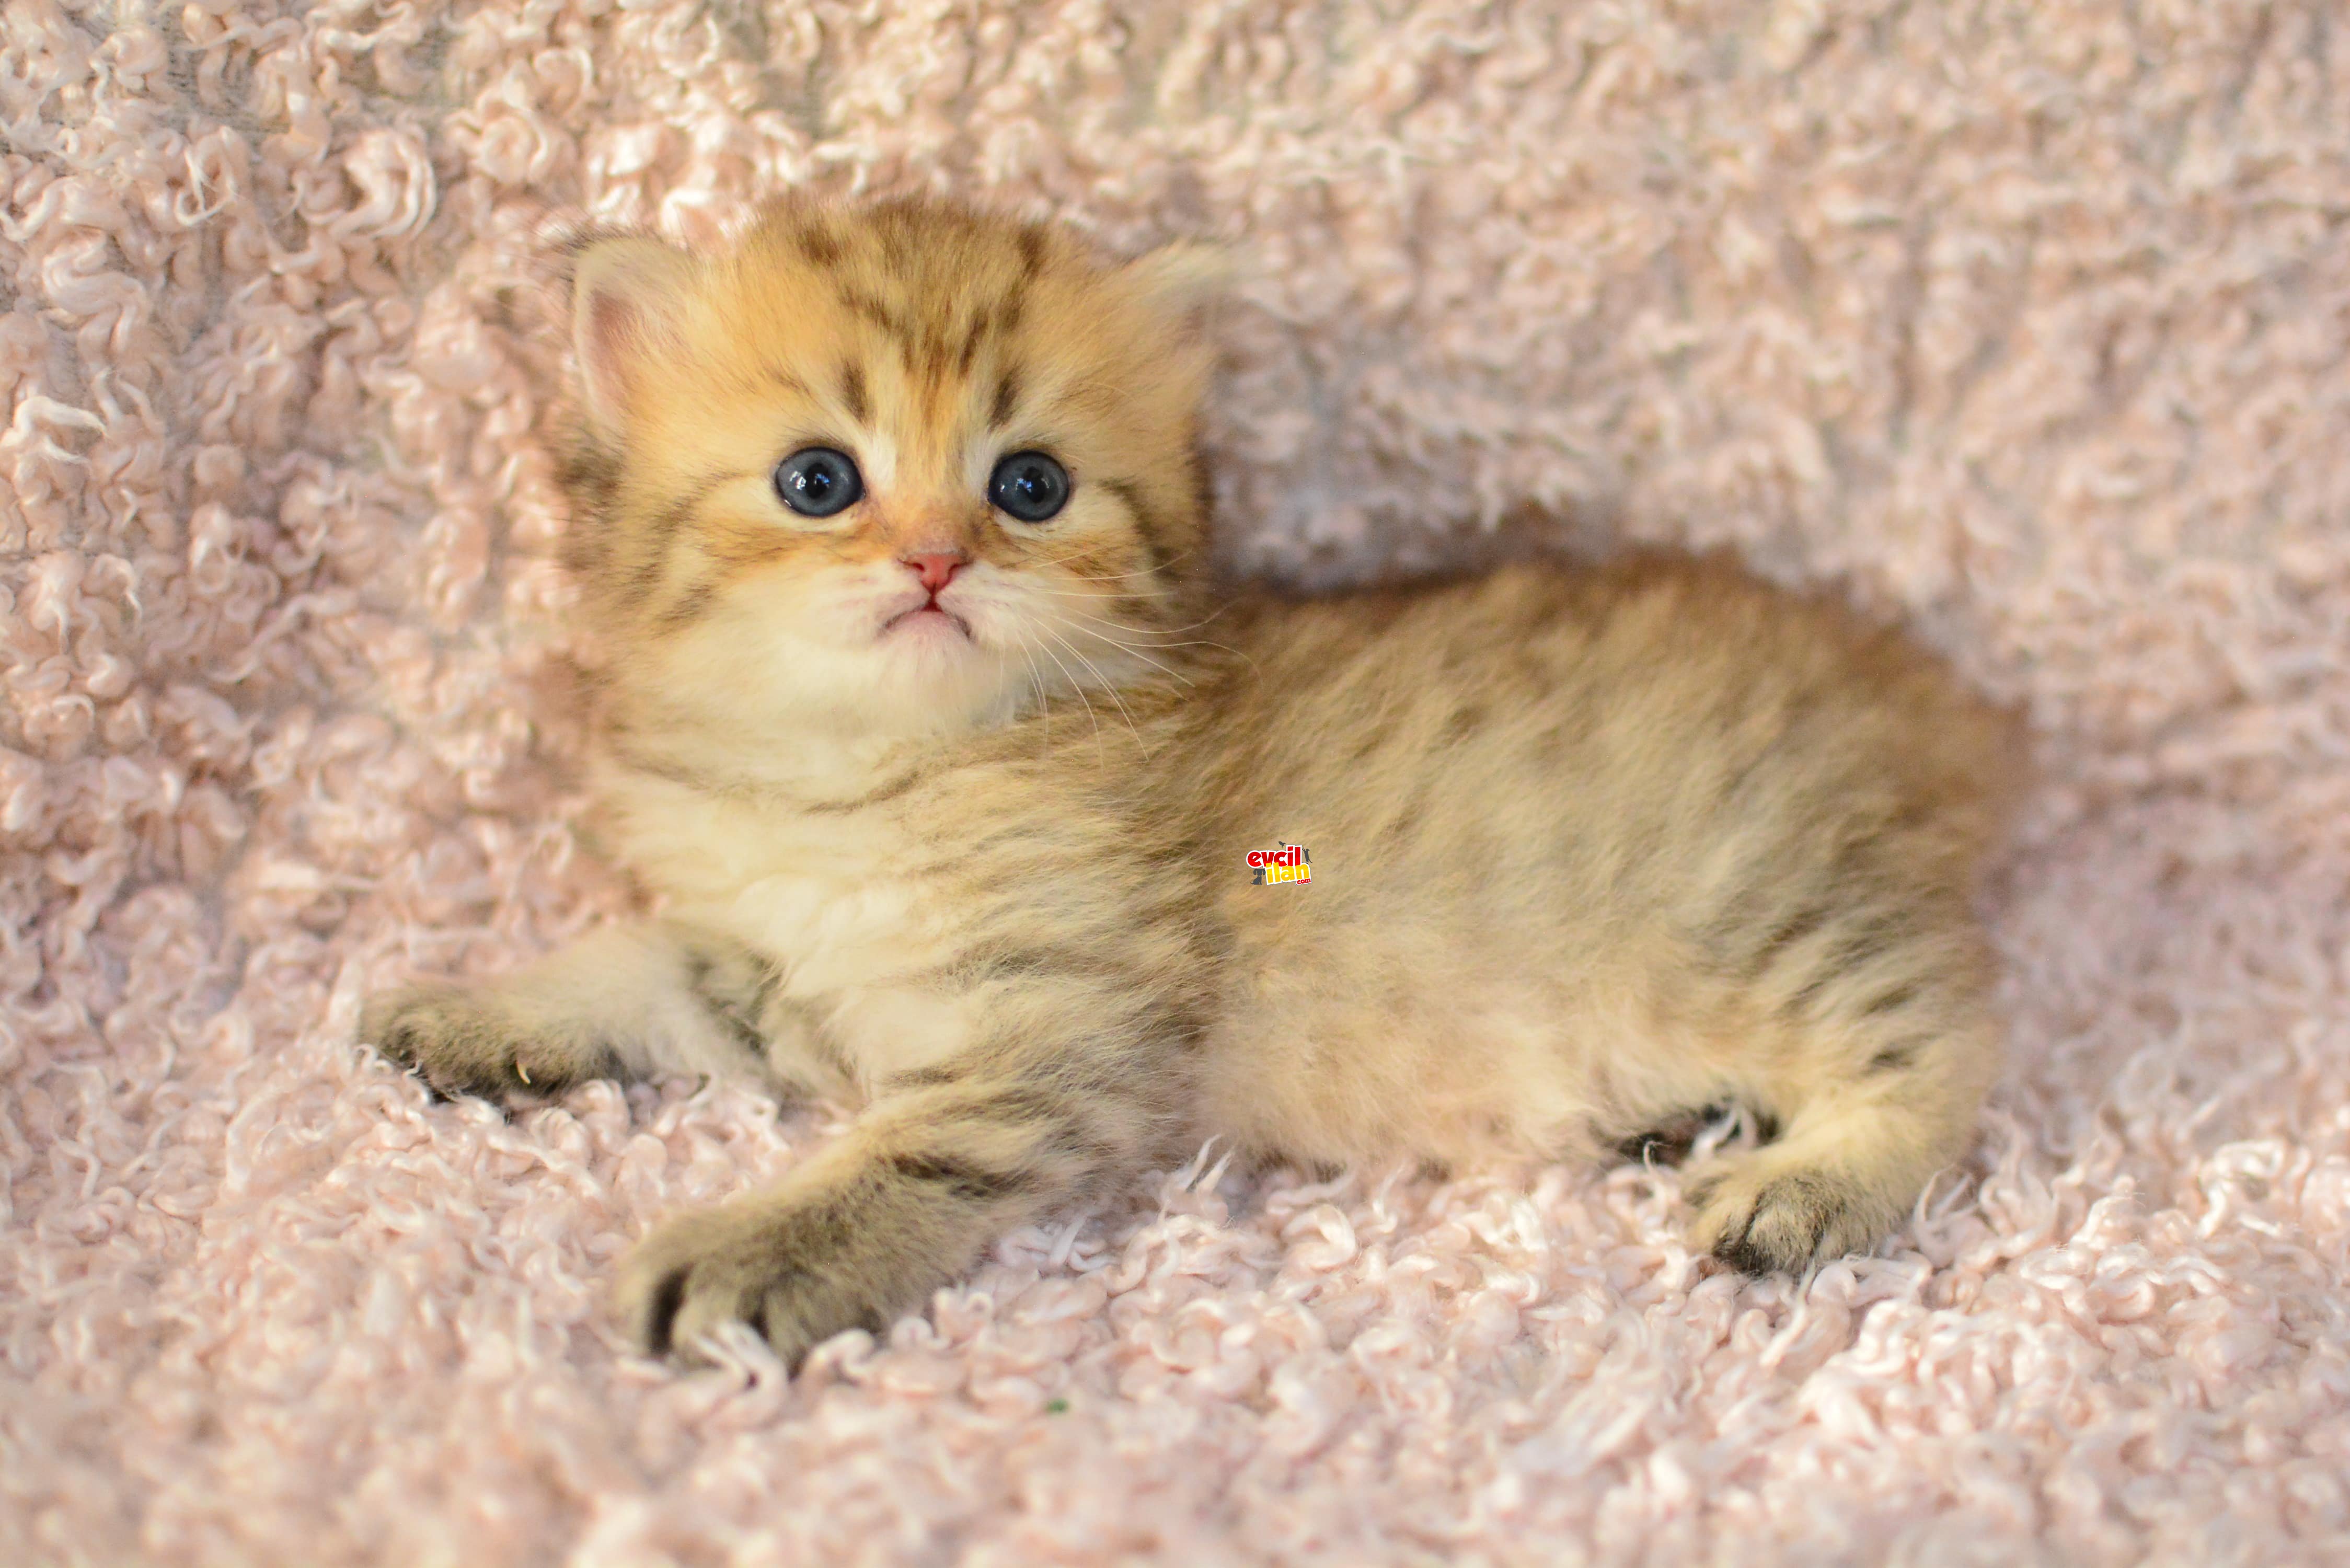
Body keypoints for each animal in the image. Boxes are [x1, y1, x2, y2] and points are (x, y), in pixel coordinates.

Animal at [362, 196, 2021, 1363]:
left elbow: (898, 1163)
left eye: (1029, 484)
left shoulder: (1053, 1043)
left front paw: (751, 1258)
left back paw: (1805, 1185)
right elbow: (625, 963)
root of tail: (1923, 689)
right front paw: (474, 1012)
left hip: (1755, 921)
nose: (934, 561)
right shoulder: (767, 968)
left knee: (1947, 1042)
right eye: (817, 479)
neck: (882, 769)